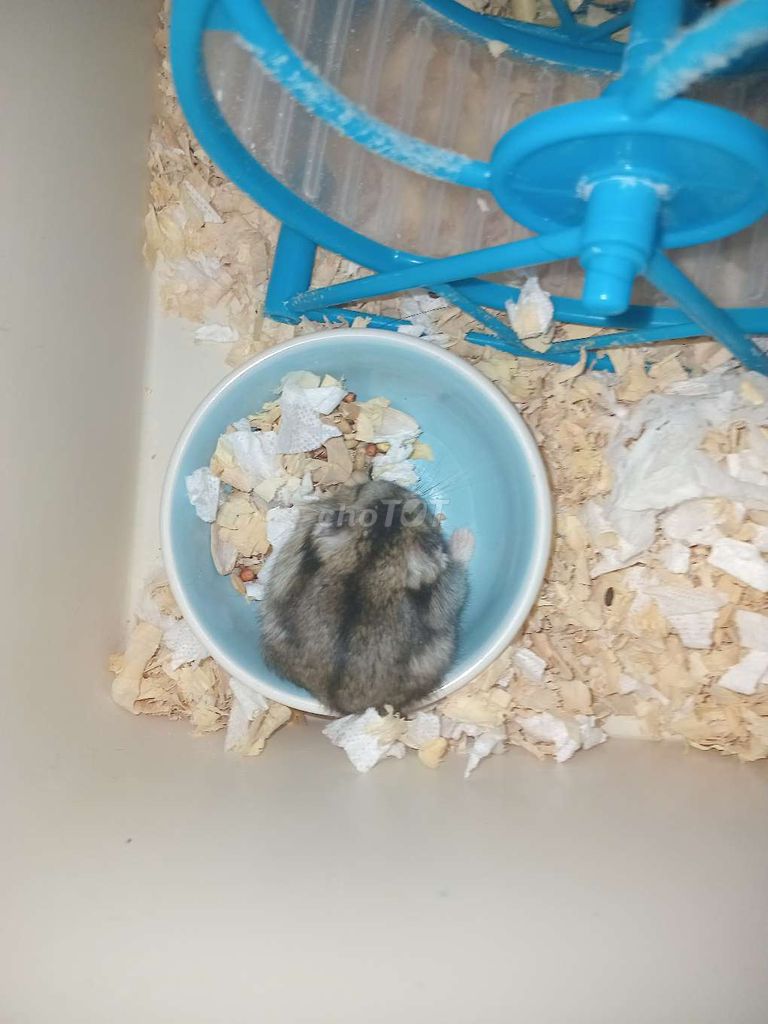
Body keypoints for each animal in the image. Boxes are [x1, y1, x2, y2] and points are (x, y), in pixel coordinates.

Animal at [260, 479, 474, 715]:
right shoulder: (448, 589)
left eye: (359, 490)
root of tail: (343, 705)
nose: (390, 483)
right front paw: (465, 535)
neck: (372, 560)